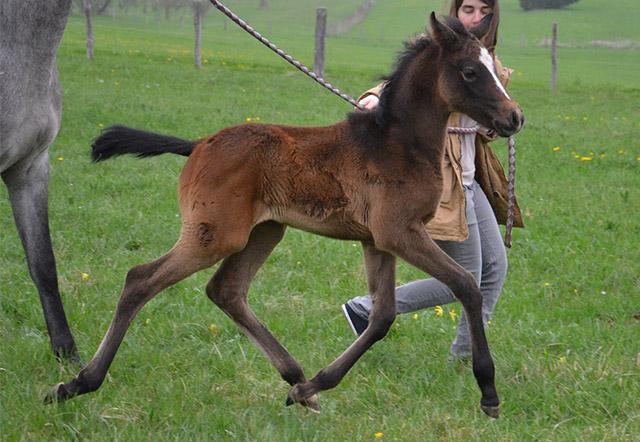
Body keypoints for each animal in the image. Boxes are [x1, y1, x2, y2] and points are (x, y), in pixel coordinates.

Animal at [47, 12, 524, 416]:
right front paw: (489, 392)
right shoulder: (400, 233)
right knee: (140, 280)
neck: (396, 143)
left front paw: (313, 385)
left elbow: (384, 316)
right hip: (215, 233)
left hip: (265, 231)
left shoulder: (377, 241)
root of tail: (198, 144)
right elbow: (466, 285)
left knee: (225, 290)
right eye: (470, 71)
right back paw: (78, 383)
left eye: (494, 68)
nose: (514, 117)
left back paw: (296, 381)